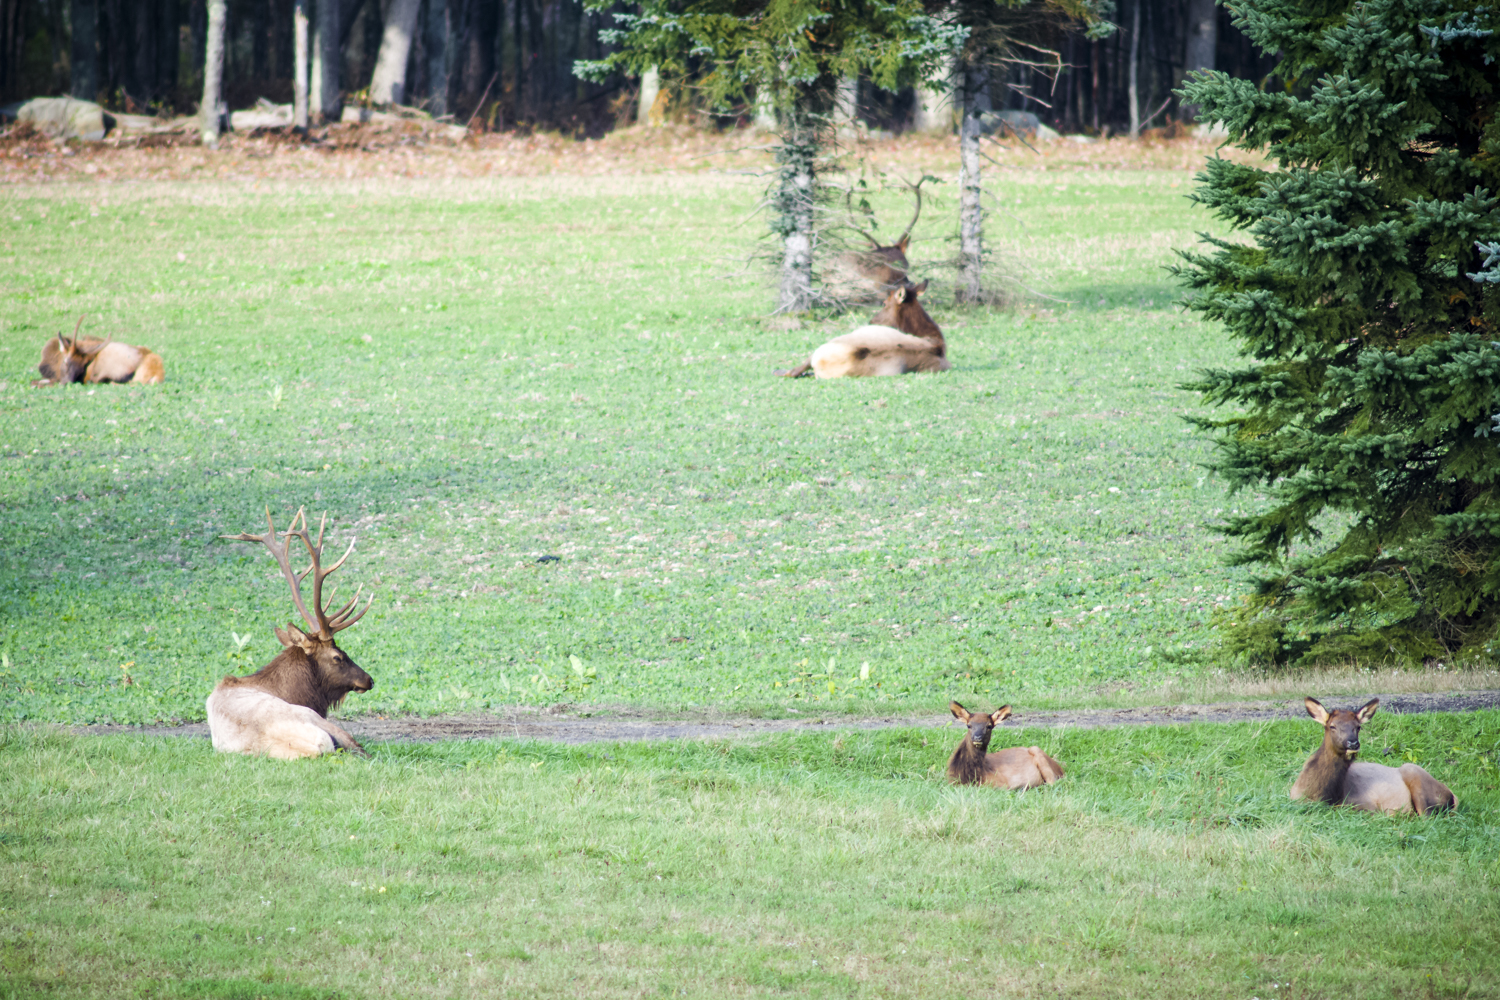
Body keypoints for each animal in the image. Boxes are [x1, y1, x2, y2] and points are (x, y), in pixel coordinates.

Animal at [1290, 697, 1456, 815]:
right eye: (1332, 726)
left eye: (1358, 727)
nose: (1353, 743)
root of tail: (1453, 796)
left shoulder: (1365, 805)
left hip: (1415, 777)